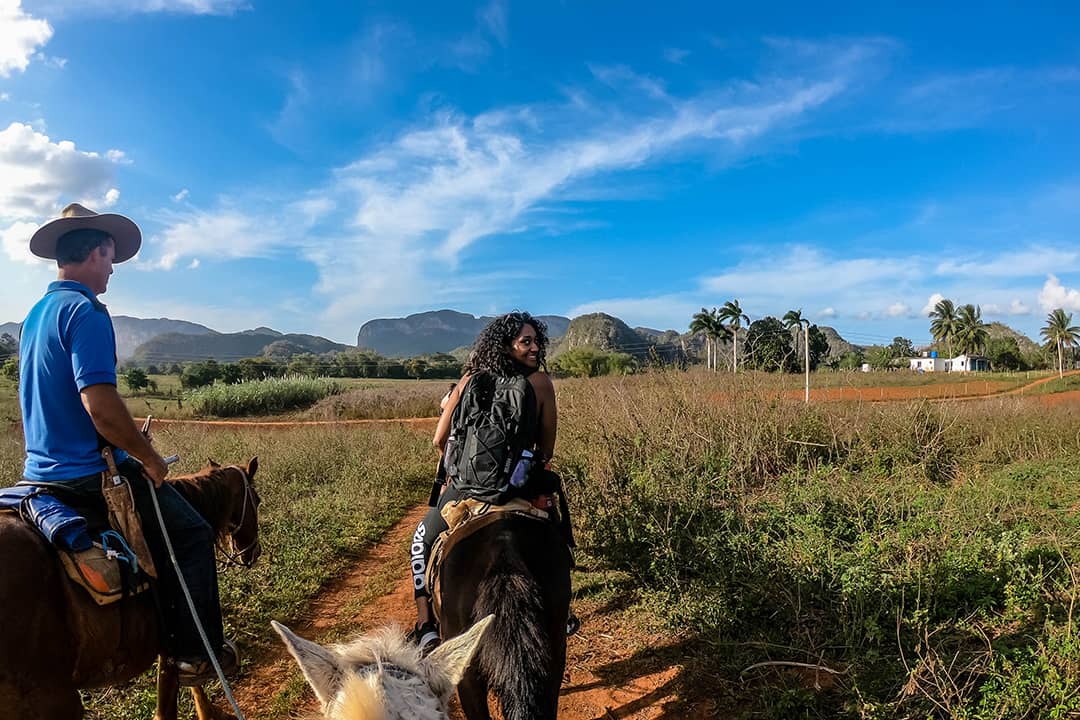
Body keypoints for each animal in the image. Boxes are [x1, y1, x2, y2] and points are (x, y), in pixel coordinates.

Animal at [0, 459, 261, 720]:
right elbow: (174, 698)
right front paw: (207, 711)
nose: (254, 552)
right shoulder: (174, 639)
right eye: (257, 500)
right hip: (54, 701)